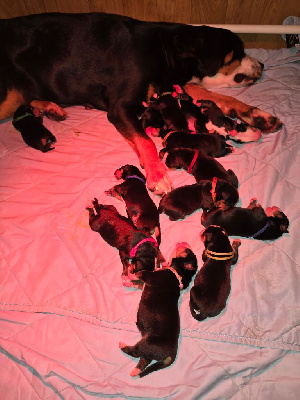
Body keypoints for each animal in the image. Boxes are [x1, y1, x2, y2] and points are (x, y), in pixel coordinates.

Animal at [1, 11, 282, 195]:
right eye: (237, 53)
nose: (263, 65)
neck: (165, 50)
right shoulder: (120, 107)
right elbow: (145, 141)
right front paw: (157, 174)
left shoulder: (175, 86)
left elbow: (219, 97)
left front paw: (257, 115)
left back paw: (49, 107)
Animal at [118, 244, 198, 378]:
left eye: (188, 252)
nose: (184, 243)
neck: (177, 274)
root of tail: (172, 354)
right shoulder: (145, 284)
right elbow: (138, 283)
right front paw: (128, 282)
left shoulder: (150, 276)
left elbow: (140, 273)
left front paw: (128, 274)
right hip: (148, 350)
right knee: (144, 360)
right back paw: (135, 372)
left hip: (148, 343)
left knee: (135, 352)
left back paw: (122, 345)